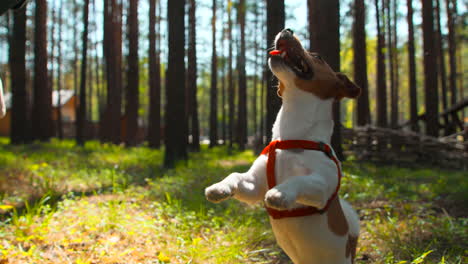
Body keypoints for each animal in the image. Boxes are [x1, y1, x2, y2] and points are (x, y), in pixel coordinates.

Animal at [205, 27, 362, 262]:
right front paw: (219, 187)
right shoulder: (253, 186)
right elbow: (235, 176)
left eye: (318, 56)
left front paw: (280, 193)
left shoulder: (322, 186)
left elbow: (299, 180)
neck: (292, 136)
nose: (287, 29)